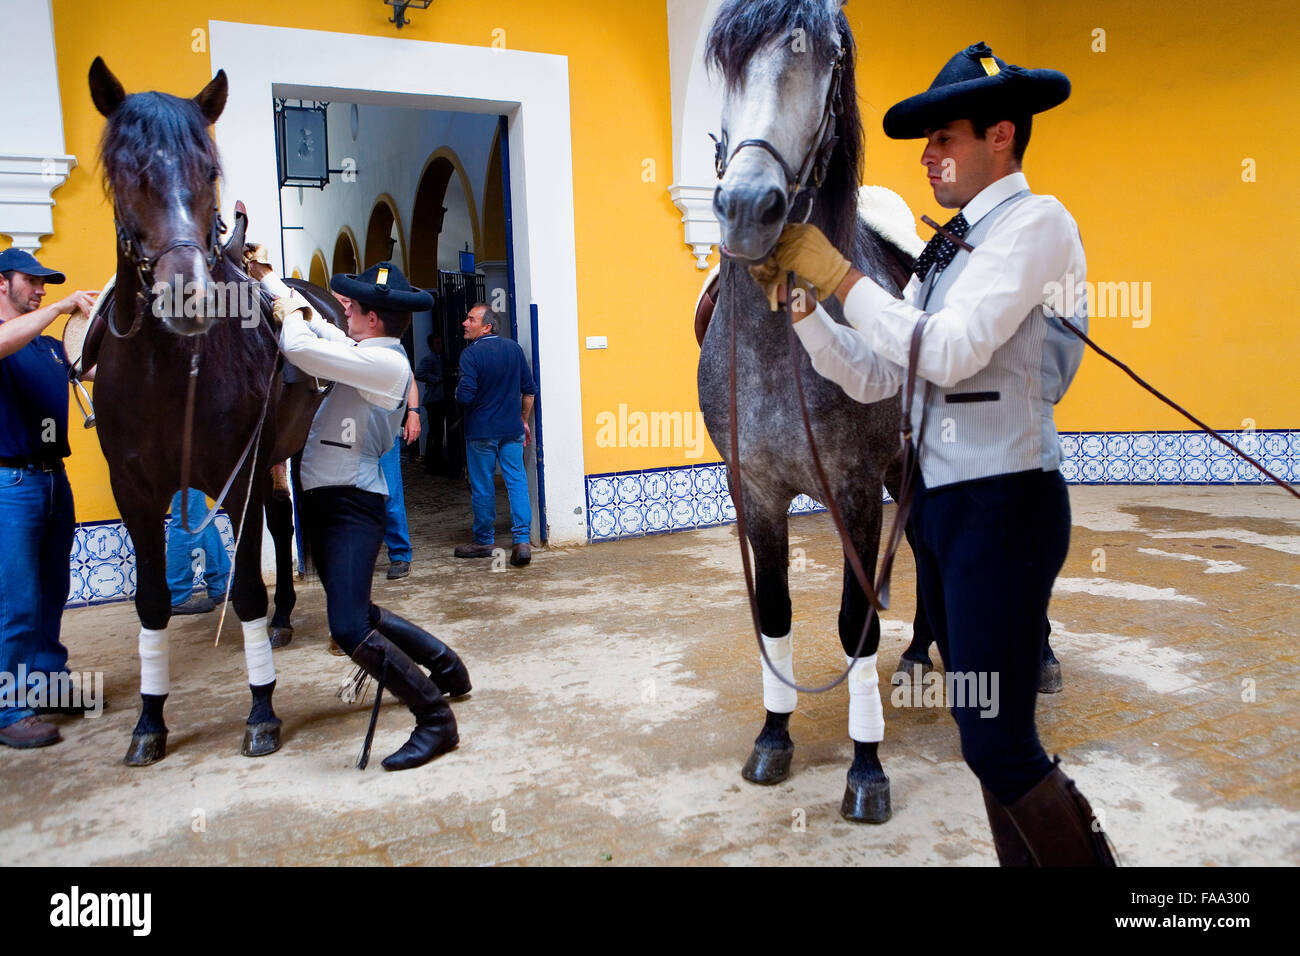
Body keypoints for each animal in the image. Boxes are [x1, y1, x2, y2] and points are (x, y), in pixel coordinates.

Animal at [89, 57, 319, 764]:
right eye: (125, 170)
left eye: (207, 169)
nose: (186, 293)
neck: (171, 374)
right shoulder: (133, 489)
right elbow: (151, 601)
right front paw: (148, 720)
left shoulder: (236, 474)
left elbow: (244, 588)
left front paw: (262, 709)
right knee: (281, 521)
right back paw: (283, 618)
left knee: (286, 522)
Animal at [702, 0, 915, 822]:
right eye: (725, 65)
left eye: (824, 61)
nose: (745, 207)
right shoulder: (757, 491)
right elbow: (775, 613)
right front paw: (774, 736)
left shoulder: (853, 490)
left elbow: (856, 624)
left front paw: (867, 767)